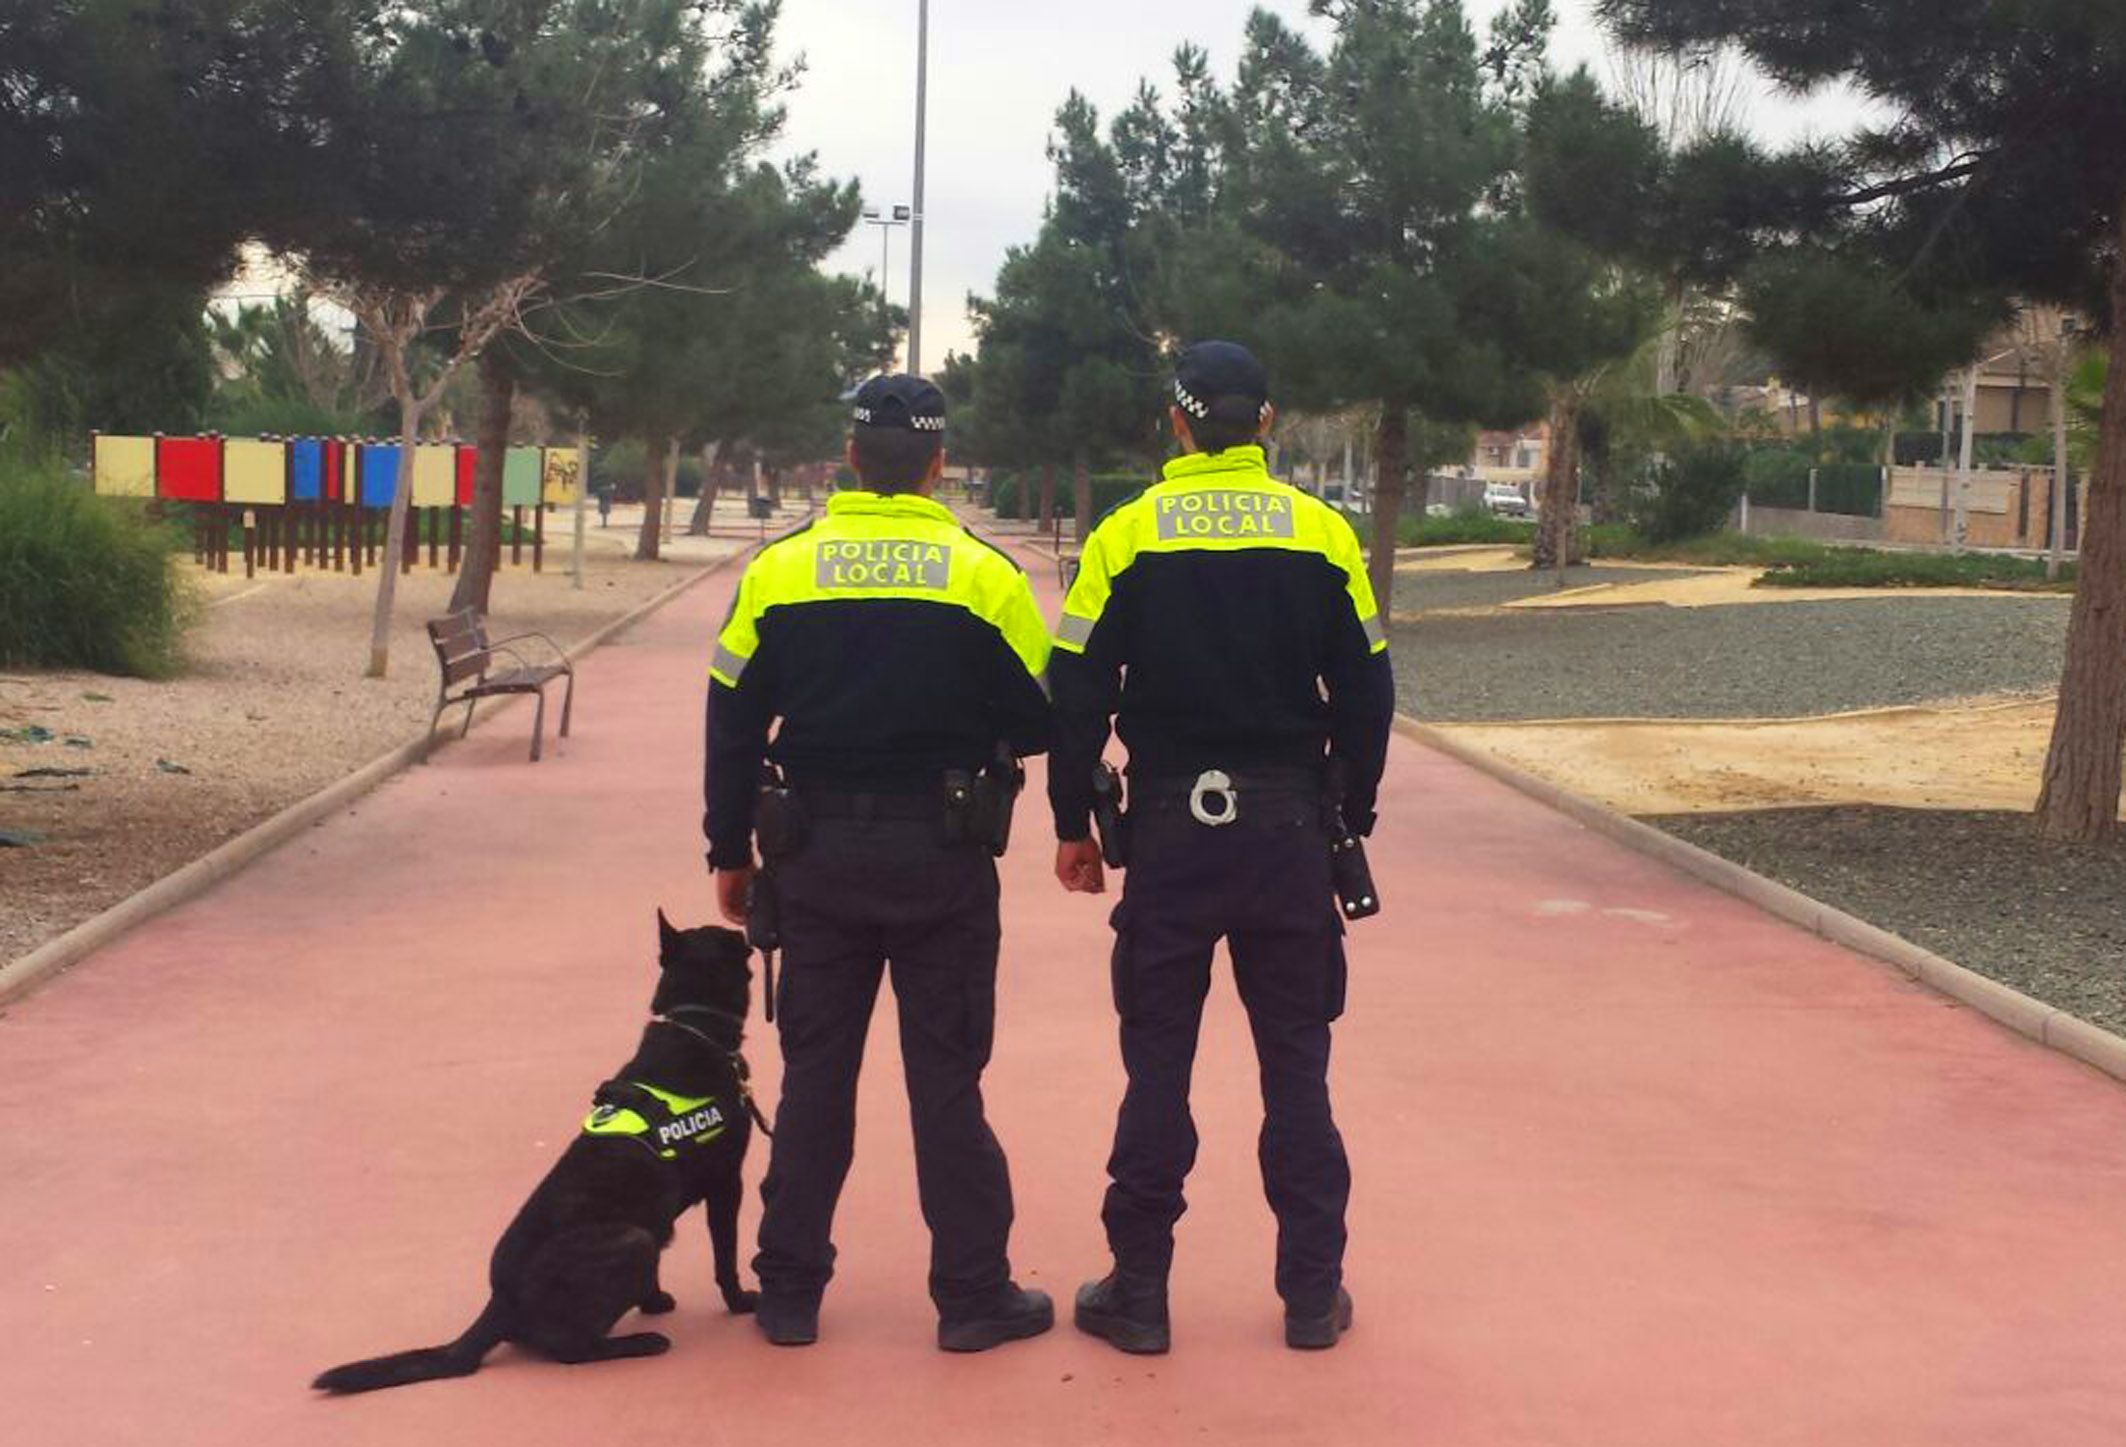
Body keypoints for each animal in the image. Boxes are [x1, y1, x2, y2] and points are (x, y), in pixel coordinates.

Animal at [314, 909, 765, 1393]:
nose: (745, 924)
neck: (694, 1025)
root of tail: (500, 1301)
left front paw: (655, 1299)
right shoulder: (726, 1183)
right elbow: (726, 1257)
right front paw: (739, 1301)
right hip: (632, 1241)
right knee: (569, 1349)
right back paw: (639, 1342)